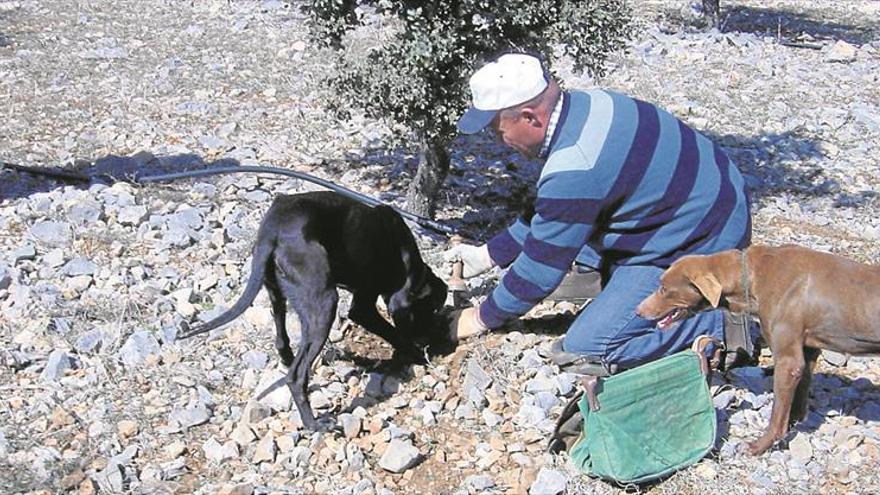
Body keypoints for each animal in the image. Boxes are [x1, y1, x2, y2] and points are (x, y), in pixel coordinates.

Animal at [183, 190, 450, 430]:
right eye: (432, 310)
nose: (437, 341)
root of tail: (271, 232)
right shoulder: (364, 307)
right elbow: (395, 333)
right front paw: (415, 355)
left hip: (278, 293)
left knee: (281, 335)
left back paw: (287, 357)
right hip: (325, 304)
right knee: (296, 376)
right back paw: (314, 424)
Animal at [636, 246, 880, 456]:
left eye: (663, 289)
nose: (638, 311)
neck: (751, 277)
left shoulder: (788, 361)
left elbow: (777, 416)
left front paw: (760, 445)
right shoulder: (808, 350)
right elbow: (799, 395)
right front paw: (795, 422)